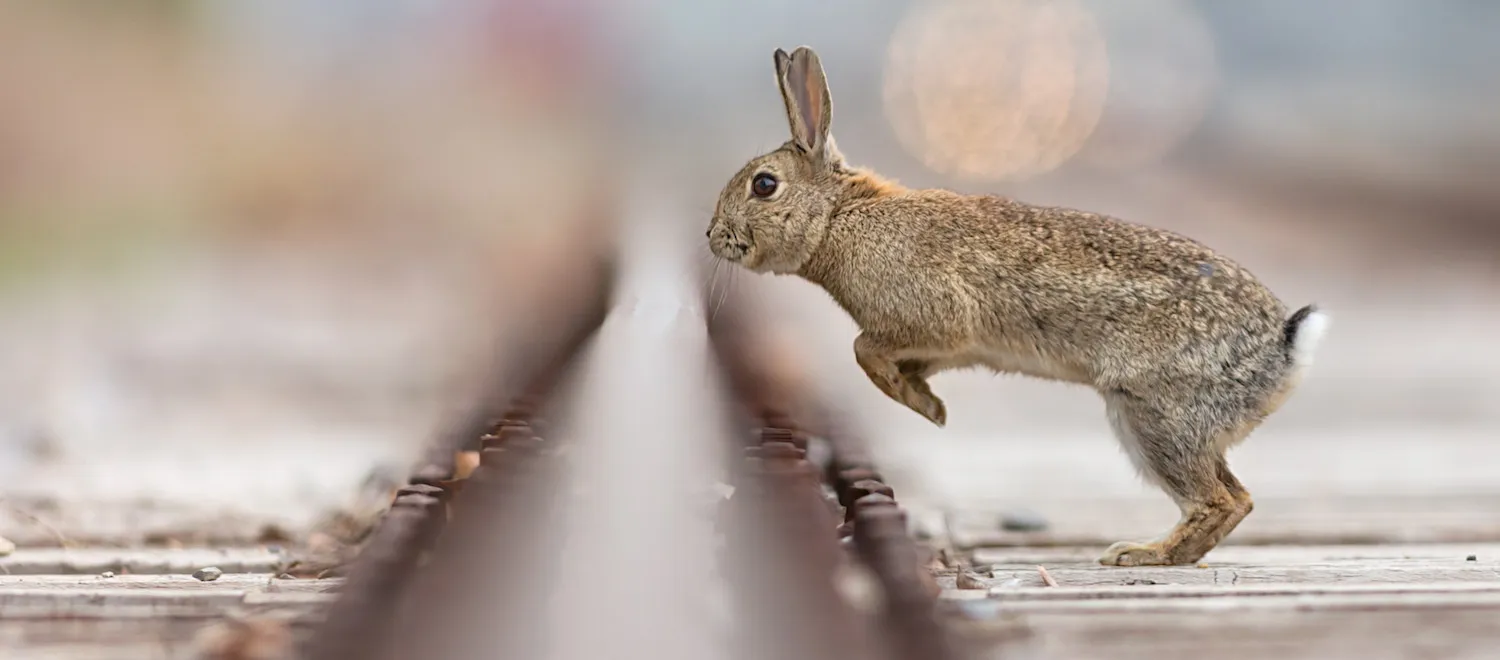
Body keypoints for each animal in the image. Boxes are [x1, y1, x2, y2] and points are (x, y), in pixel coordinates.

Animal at [704, 46, 1330, 567]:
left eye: (764, 185)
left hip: (1159, 415)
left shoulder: (931, 319)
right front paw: (930, 403)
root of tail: (1281, 350)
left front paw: (924, 407)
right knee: (1235, 495)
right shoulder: (943, 346)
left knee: (1219, 500)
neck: (839, 217)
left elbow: (864, 350)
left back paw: (1140, 555)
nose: (712, 236)